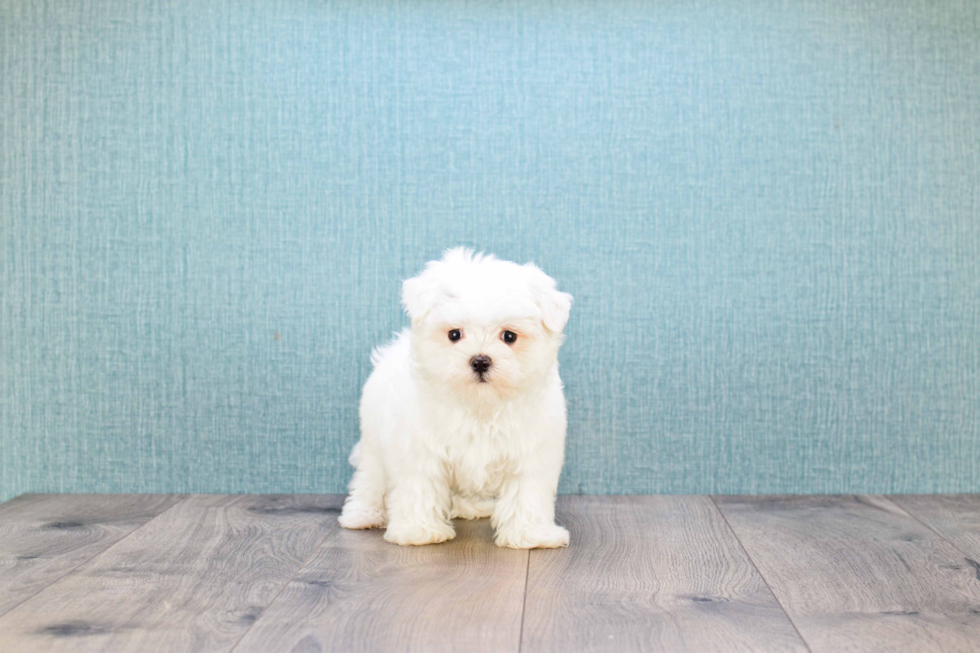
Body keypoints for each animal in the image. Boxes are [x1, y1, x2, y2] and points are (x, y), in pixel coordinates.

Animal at [336, 247, 572, 548]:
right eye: (454, 334)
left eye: (509, 336)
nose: (480, 360)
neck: (479, 405)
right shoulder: (420, 450)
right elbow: (420, 487)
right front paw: (420, 532)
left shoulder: (530, 452)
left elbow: (526, 493)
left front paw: (530, 535)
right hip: (373, 441)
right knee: (370, 479)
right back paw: (363, 514)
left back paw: (470, 508)